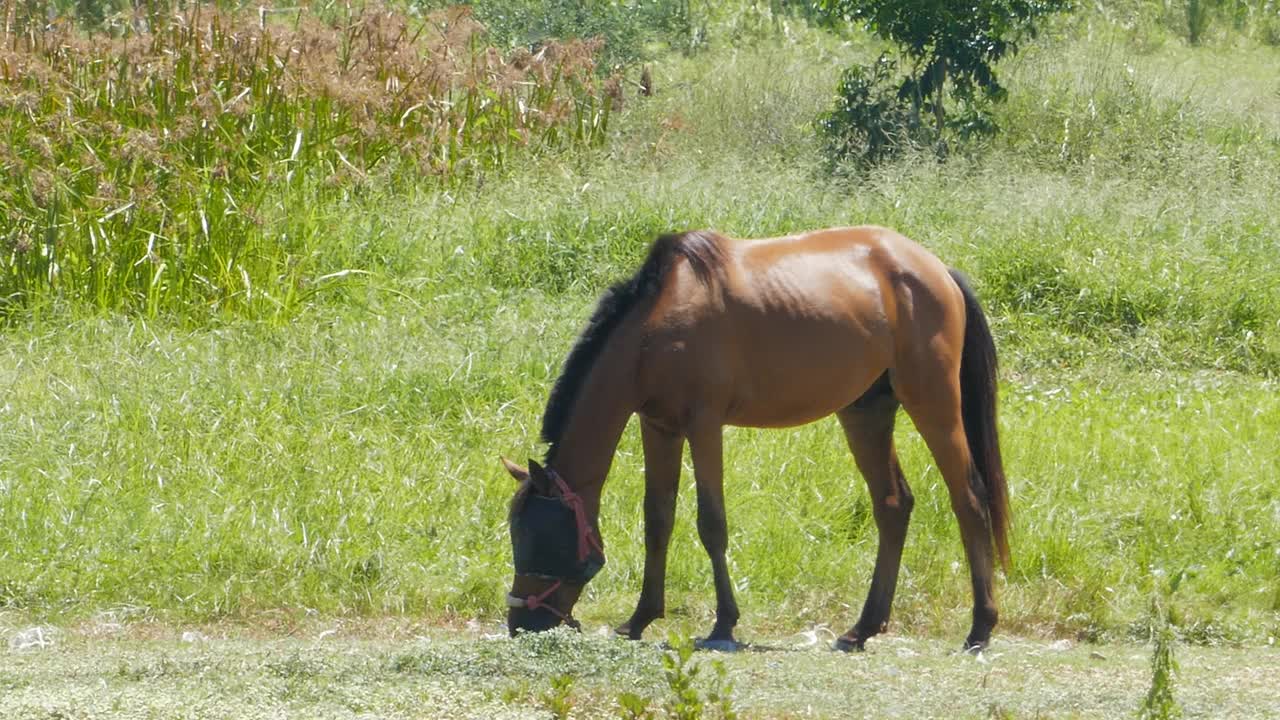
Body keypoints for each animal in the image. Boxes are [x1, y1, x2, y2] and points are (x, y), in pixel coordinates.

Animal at [499, 225, 1008, 650]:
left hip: (933, 404)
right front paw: (641, 618)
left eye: (538, 535)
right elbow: (657, 519)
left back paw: (980, 627)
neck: (654, 327)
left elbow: (711, 523)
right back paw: (862, 629)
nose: (520, 623)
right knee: (893, 506)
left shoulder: (704, 425)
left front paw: (723, 623)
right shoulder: (659, 426)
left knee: (969, 499)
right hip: (866, 413)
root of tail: (938, 270)